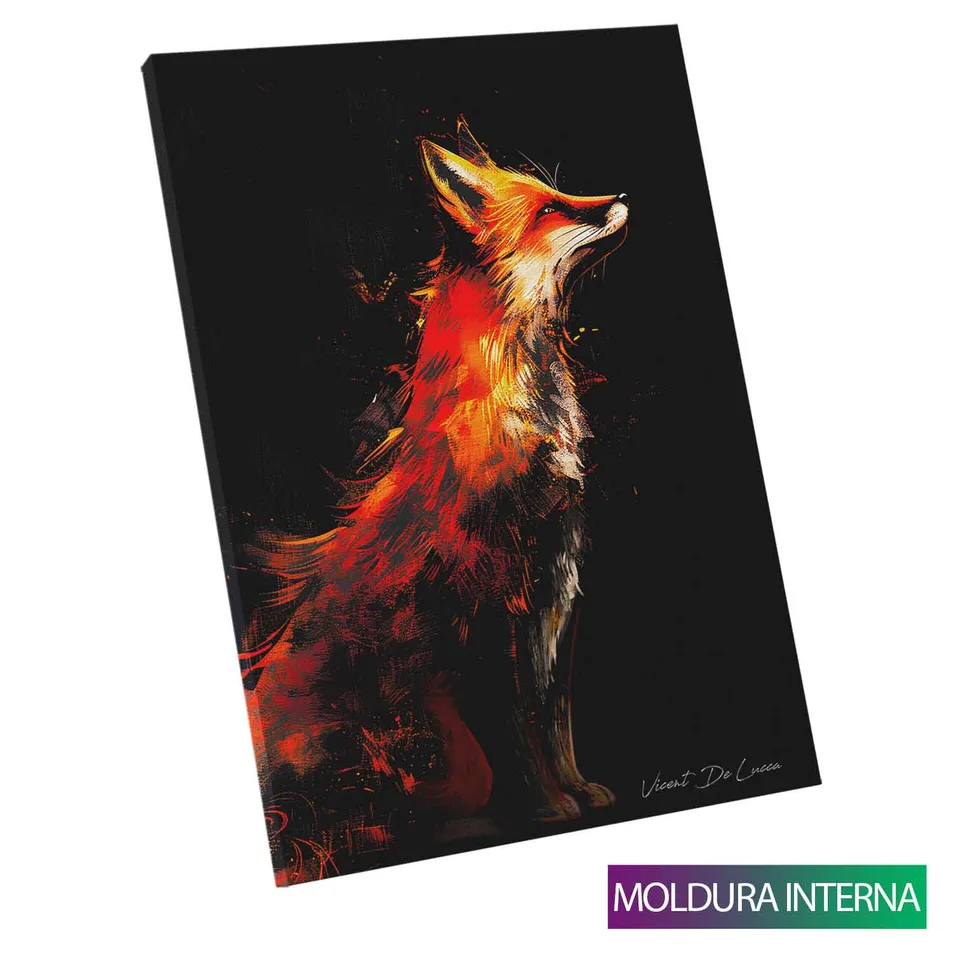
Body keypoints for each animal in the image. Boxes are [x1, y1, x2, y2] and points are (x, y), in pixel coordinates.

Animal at [240, 119, 629, 884]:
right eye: (551, 209)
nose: (622, 197)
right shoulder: (489, 603)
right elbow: (519, 732)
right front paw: (549, 809)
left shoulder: (556, 589)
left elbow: (556, 718)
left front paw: (579, 790)